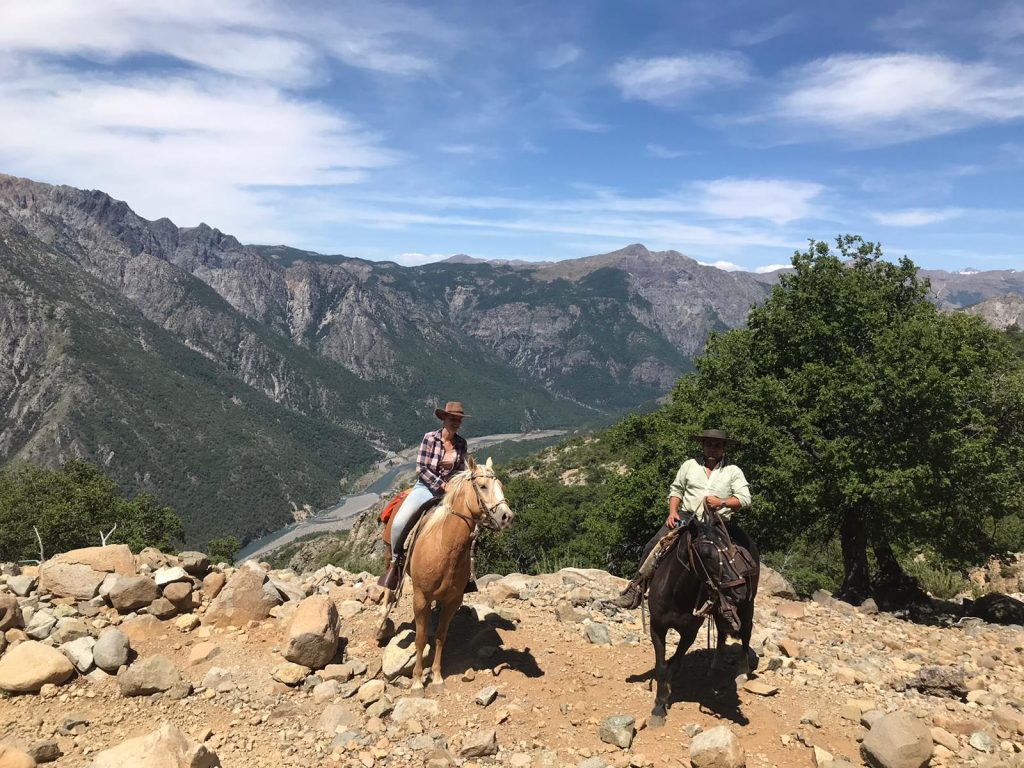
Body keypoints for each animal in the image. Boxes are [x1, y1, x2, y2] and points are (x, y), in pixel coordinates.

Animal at [382, 456, 516, 696]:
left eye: (501, 485)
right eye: (482, 486)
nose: (507, 517)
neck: (444, 546)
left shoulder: (453, 600)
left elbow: (441, 636)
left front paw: (436, 677)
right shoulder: (420, 598)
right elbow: (419, 639)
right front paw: (417, 682)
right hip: (390, 553)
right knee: (389, 583)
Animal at [647, 518, 761, 729]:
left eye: (730, 551)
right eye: (707, 555)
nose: (740, 589)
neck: (677, 595)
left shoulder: (690, 633)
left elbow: (674, 663)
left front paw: (664, 697)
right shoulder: (657, 628)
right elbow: (662, 666)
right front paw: (659, 705)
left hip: (747, 605)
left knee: (746, 632)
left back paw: (742, 672)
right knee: (722, 633)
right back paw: (714, 666)